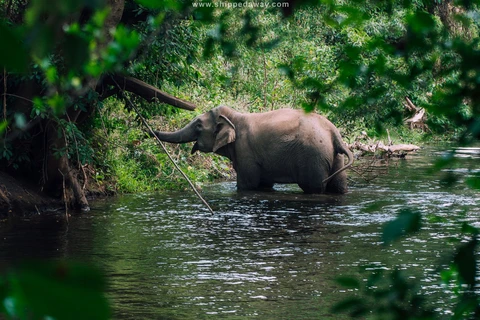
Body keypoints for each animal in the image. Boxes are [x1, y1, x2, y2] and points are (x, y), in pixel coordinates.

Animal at [152, 106, 354, 194]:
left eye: (199, 126)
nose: (152, 130)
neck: (234, 116)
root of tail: (334, 133)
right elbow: (264, 184)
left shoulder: (245, 151)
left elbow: (247, 185)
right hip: (334, 157)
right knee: (338, 187)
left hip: (313, 157)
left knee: (314, 188)